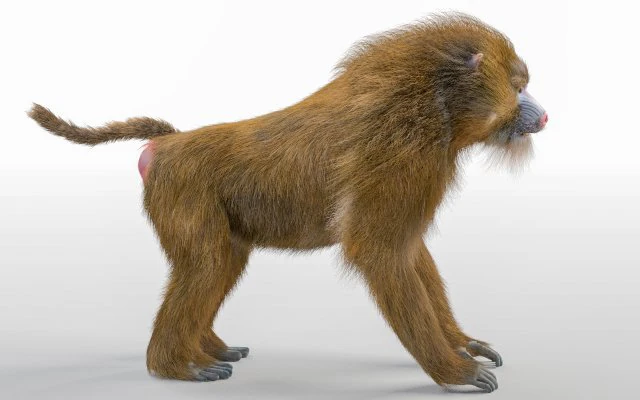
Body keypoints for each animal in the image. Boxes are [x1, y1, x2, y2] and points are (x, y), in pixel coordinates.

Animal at [28, 13, 548, 393]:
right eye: (518, 86)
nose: (543, 116)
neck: (429, 97)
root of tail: (172, 143)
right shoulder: (402, 154)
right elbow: (380, 254)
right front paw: (455, 372)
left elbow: (407, 251)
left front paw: (463, 346)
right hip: (182, 191)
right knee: (205, 263)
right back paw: (175, 366)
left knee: (222, 261)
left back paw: (207, 349)